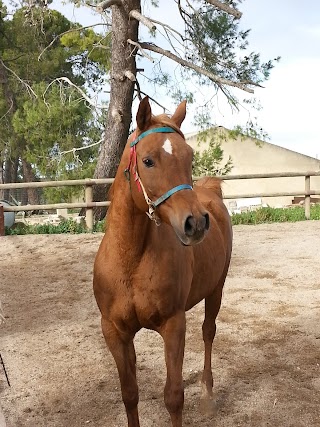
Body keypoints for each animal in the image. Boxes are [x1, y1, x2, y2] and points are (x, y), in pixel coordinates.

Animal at [93, 98, 232, 427]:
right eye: (148, 161)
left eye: (189, 157)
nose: (196, 223)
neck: (130, 260)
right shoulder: (114, 332)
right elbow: (130, 394)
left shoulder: (172, 324)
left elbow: (173, 397)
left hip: (216, 289)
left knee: (208, 332)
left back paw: (207, 395)